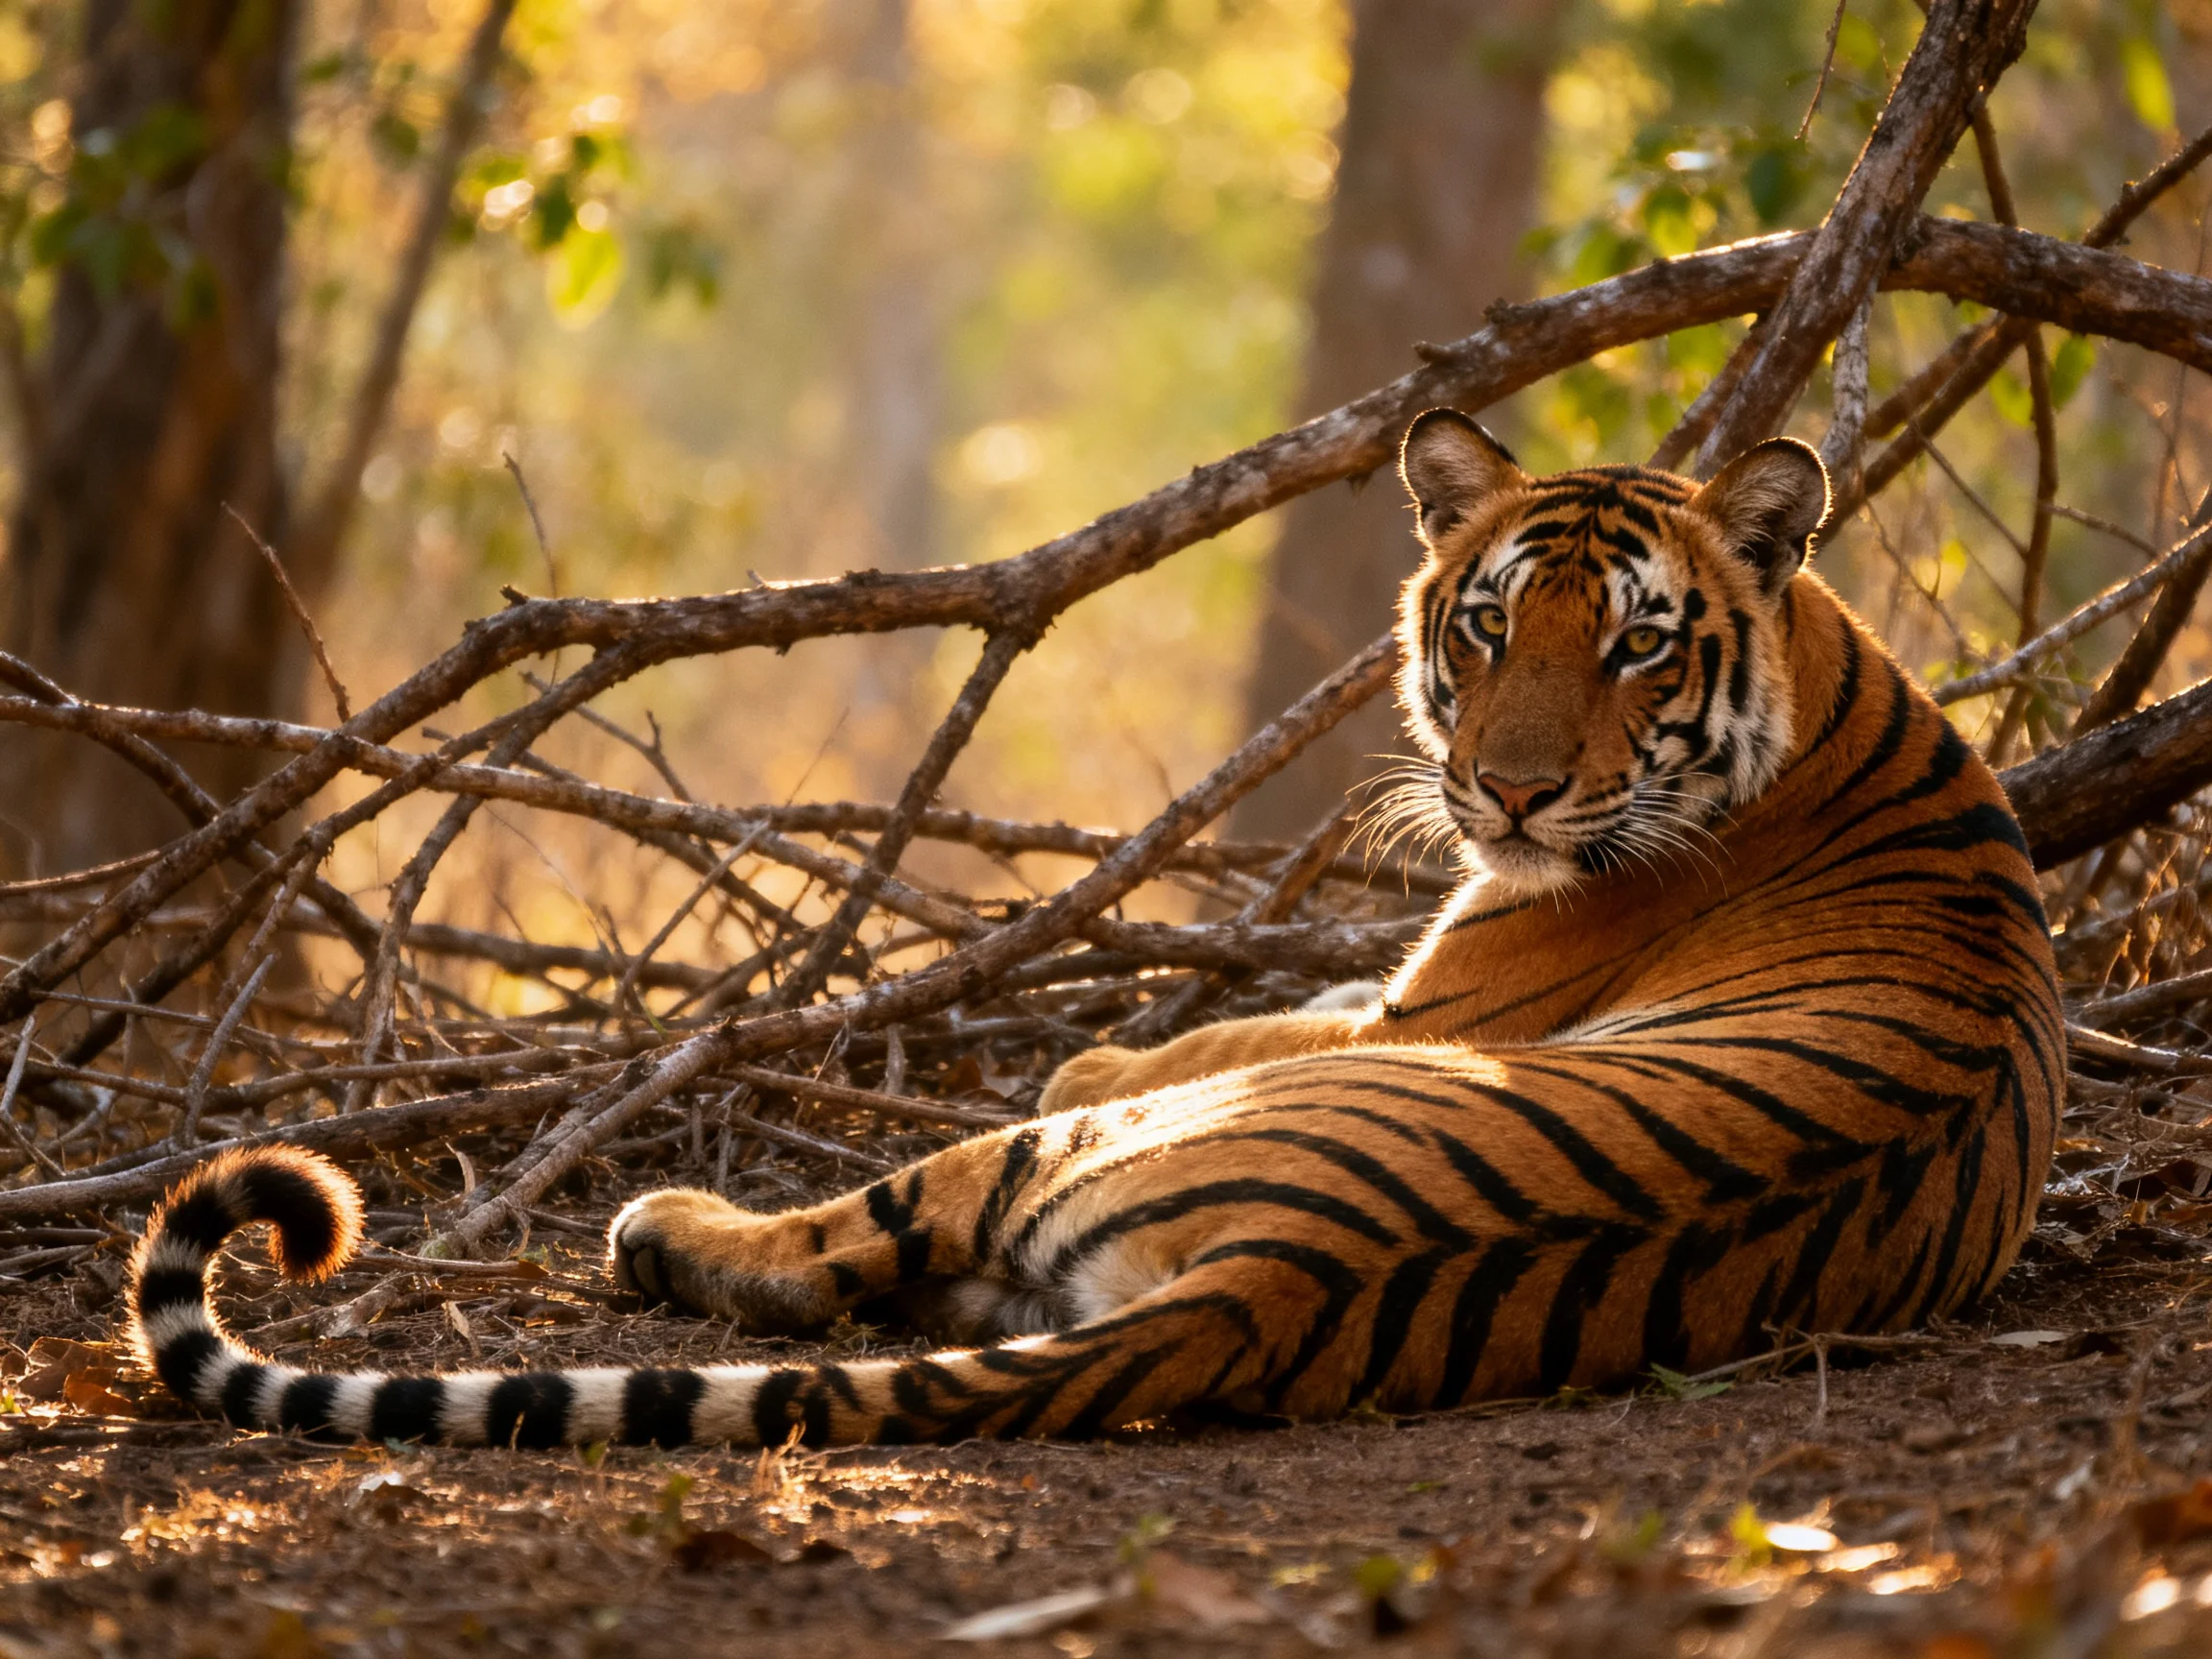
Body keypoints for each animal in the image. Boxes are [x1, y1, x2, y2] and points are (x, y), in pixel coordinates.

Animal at [125, 411, 2063, 1450]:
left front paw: (1095, 1039)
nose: (1509, 797)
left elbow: (1184, 1034)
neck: (1829, 687)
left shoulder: (1416, 1005)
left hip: (1031, 1168)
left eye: (1640, 644)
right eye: (1493, 625)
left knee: (841, 1239)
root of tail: (1263, 1277)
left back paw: (671, 1223)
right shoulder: (1398, 977)